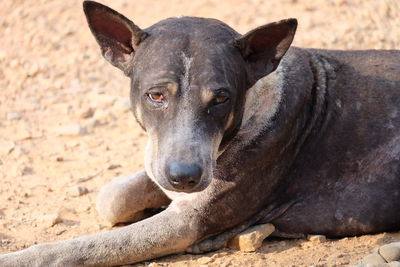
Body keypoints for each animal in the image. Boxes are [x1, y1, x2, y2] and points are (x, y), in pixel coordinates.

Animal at [1, 1, 398, 266]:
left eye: (221, 99)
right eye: (156, 96)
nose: (185, 178)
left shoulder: (186, 222)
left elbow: (71, 250)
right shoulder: (161, 167)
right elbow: (111, 196)